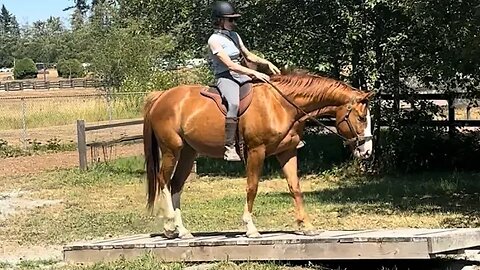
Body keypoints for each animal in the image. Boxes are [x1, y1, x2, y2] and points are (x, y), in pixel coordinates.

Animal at [142, 71, 376, 238]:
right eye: (361, 118)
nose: (367, 151)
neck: (282, 105)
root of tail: (160, 96)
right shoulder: (257, 151)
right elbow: (252, 187)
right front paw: (250, 227)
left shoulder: (287, 151)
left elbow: (295, 187)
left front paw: (306, 225)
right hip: (171, 150)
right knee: (163, 181)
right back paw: (169, 226)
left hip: (189, 152)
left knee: (176, 185)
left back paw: (182, 231)